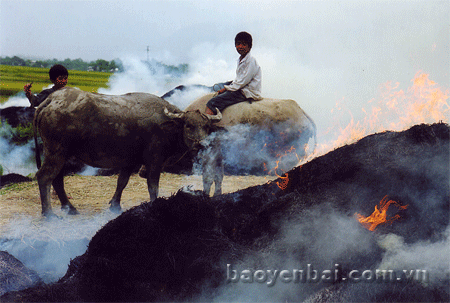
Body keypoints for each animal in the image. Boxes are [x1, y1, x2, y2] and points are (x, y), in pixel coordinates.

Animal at [33, 86, 221, 217]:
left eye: (206, 126)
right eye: (189, 125)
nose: (202, 144)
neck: (168, 126)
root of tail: (49, 101)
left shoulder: (130, 161)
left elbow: (121, 182)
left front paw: (115, 206)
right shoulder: (155, 161)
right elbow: (153, 186)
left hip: (61, 154)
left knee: (57, 179)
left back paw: (70, 208)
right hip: (56, 151)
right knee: (44, 177)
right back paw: (49, 214)